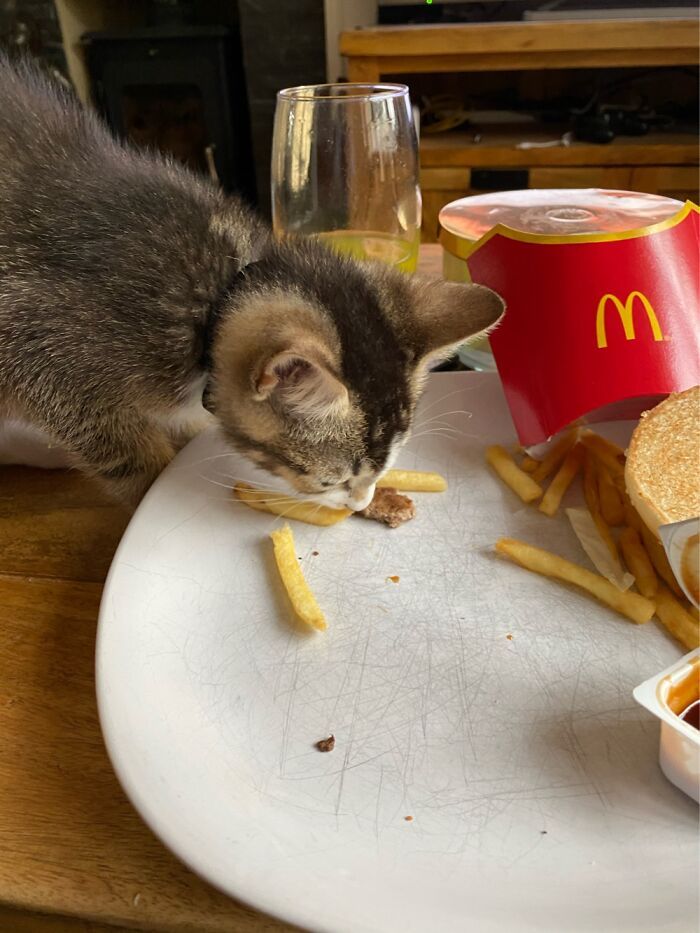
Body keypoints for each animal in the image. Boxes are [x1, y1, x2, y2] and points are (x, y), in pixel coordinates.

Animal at [0, 58, 504, 510]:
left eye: (384, 470)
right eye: (331, 481)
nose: (361, 503)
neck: (217, 297)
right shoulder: (47, 357)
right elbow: (125, 454)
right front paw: (153, 483)